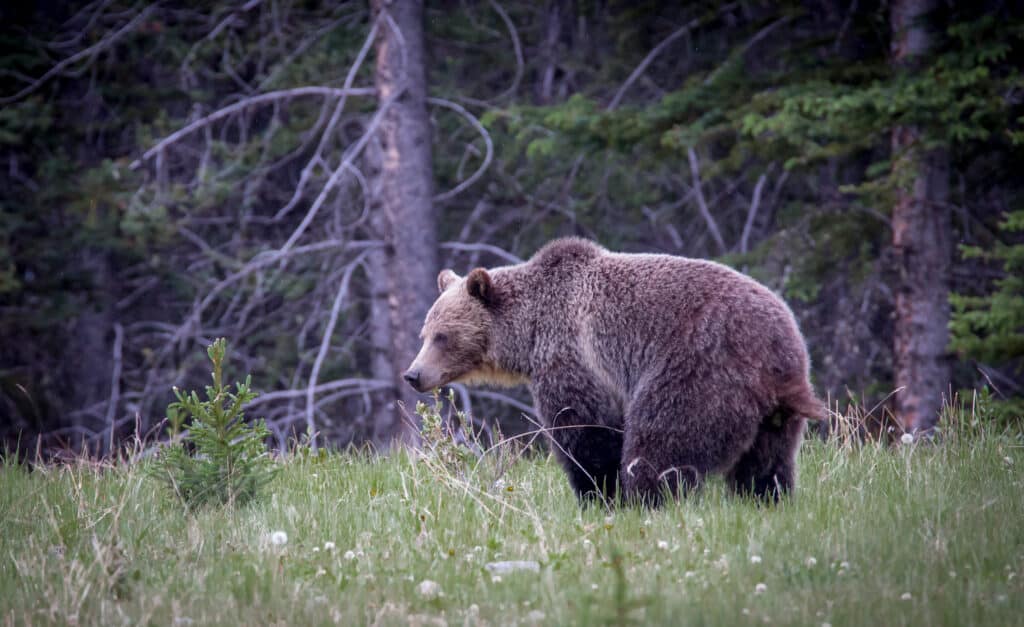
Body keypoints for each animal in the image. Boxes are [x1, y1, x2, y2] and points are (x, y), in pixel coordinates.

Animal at [401, 237, 823, 506]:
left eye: (442, 336)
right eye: (424, 333)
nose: (413, 375)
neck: (529, 332)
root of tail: (778, 354)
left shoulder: (575, 357)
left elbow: (584, 431)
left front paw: (597, 494)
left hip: (699, 370)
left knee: (662, 440)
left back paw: (649, 499)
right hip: (775, 410)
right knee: (767, 462)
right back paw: (765, 499)